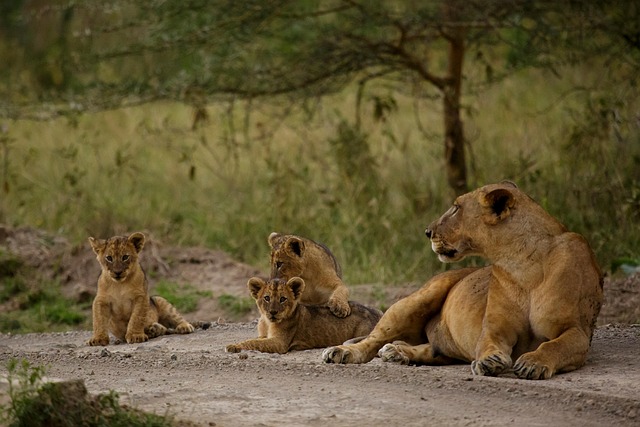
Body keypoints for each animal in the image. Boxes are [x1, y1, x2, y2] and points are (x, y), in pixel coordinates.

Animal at [225, 276, 382, 354]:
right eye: (267, 298)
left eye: (283, 299)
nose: (273, 312)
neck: (267, 322)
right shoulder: (265, 336)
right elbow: (254, 340)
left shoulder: (280, 343)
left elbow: (253, 343)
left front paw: (233, 346)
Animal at [323, 181, 603, 380]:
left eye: (456, 207)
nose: (427, 231)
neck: (523, 262)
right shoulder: (494, 328)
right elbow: (488, 344)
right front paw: (489, 362)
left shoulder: (578, 331)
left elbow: (555, 346)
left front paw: (532, 363)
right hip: (415, 300)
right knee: (373, 340)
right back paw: (344, 352)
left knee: (431, 349)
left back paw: (397, 352)